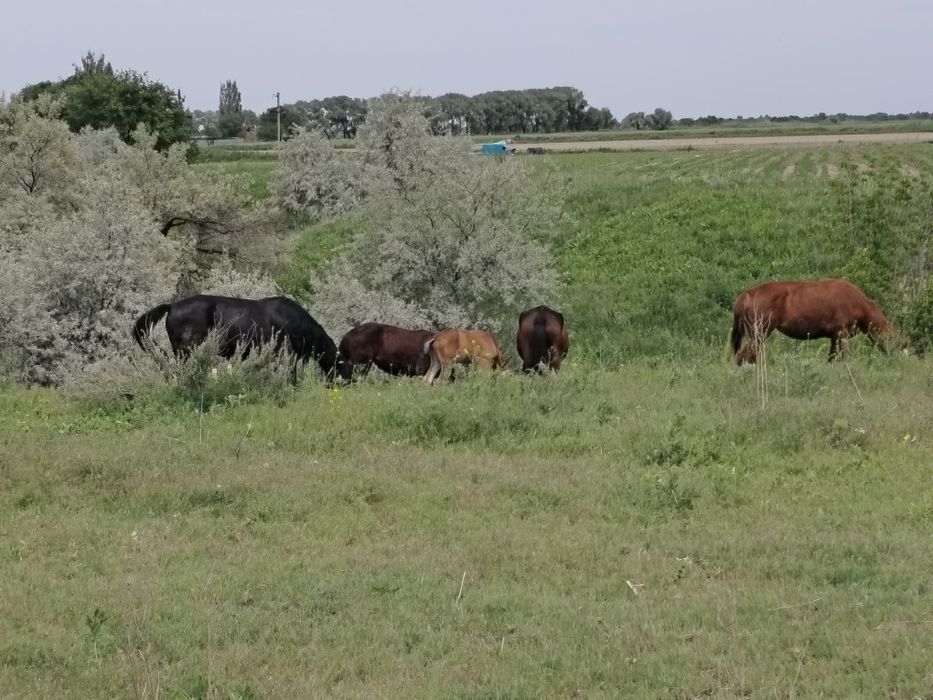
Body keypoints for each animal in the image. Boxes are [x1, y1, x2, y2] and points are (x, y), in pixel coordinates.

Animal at [730, 279, 893, 364]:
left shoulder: (834, 337)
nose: (893, 353)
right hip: (759, 333)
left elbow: (832, 359)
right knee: (743, 356)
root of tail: (746, 295)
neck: (859, 304)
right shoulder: (841, 334)